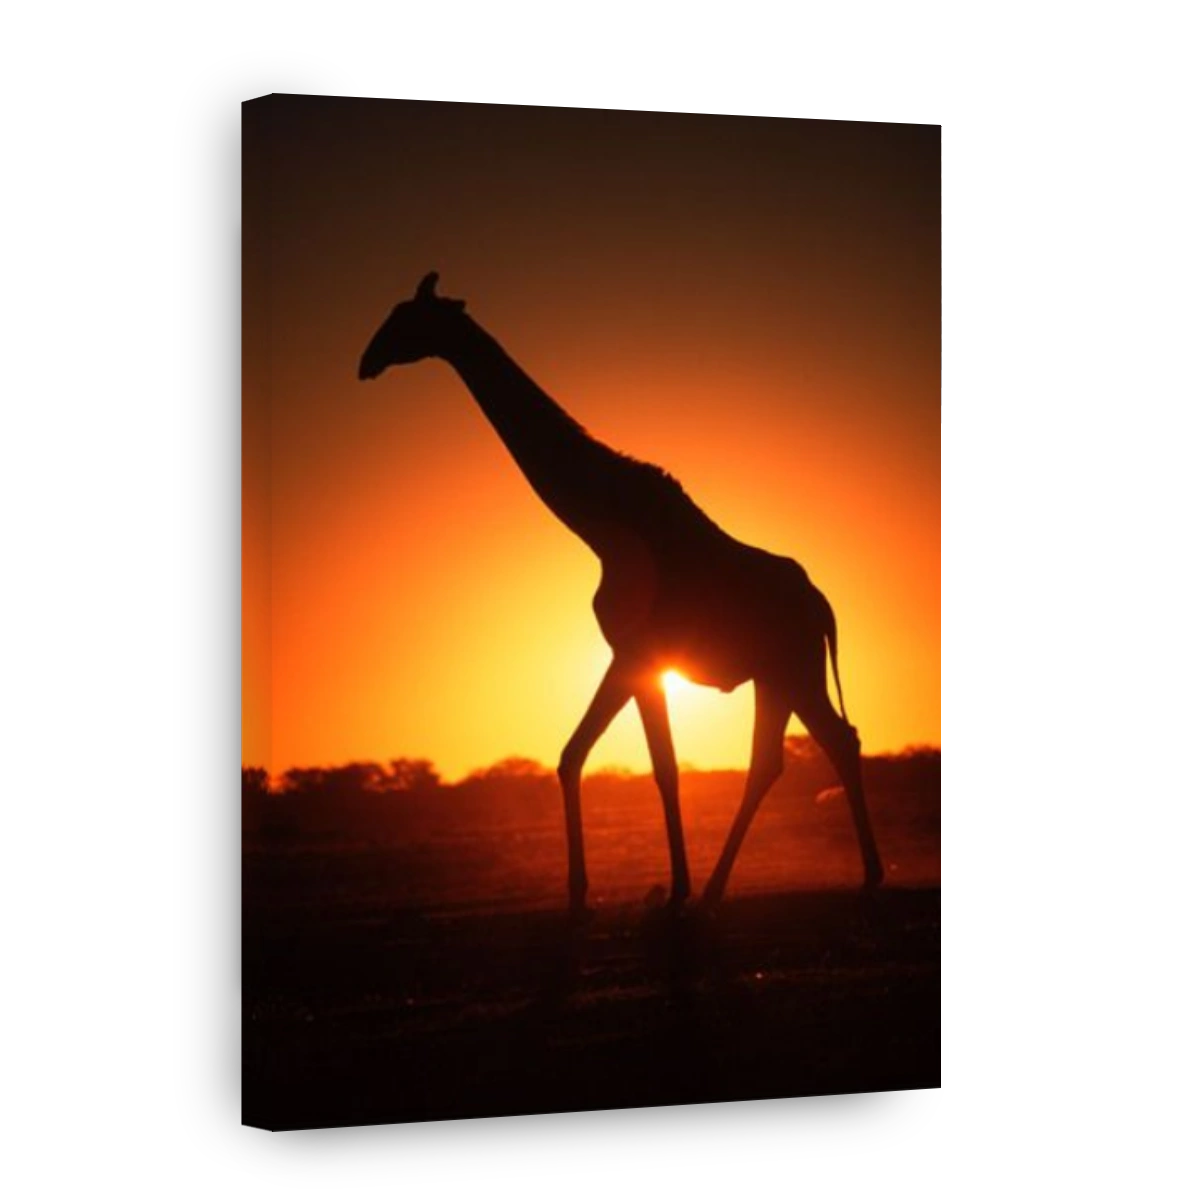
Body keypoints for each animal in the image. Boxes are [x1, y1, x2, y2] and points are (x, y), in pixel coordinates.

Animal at [359, 272, 885, 916]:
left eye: (405, 318)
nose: (366, 361)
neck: (600, 526)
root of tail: (823, 606)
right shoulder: (632, 656)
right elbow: (577, 754)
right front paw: (589, 891)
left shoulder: (636, 651)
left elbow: (659, 766)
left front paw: (669, 891)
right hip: (776, 673)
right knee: (787, 756)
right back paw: (731, 887)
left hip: (794, 667)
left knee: (824, 744)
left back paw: (851, 877)